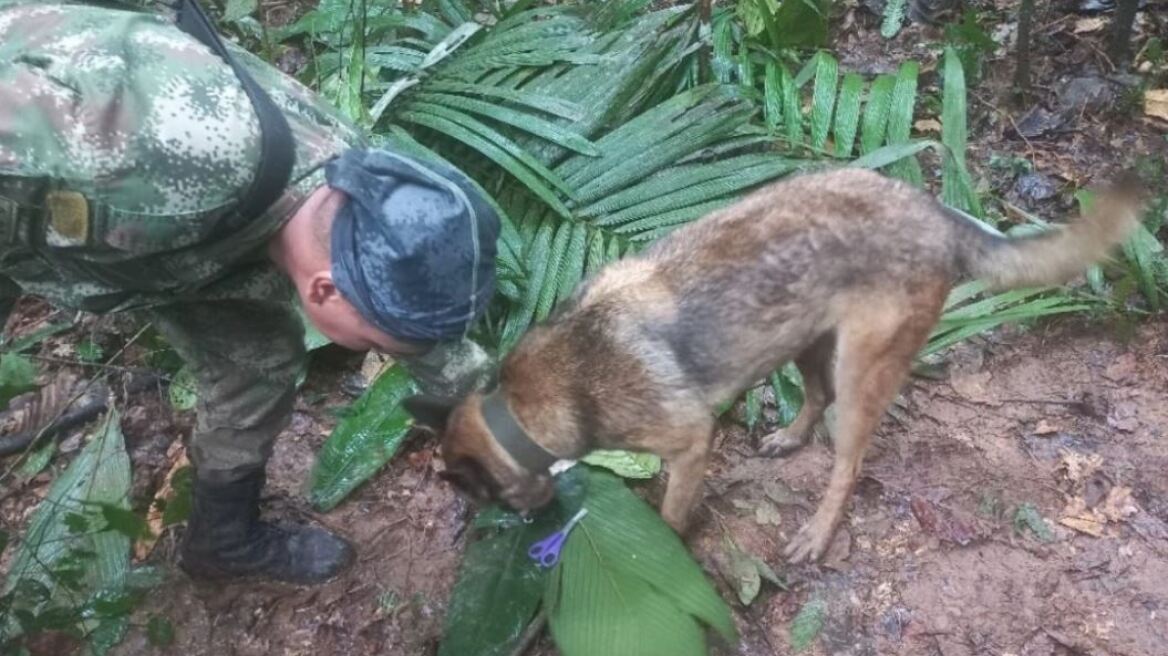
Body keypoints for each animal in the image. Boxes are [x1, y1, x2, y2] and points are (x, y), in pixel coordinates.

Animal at [408, 168, 1139, 562]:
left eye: (481, 497)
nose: (524, 528)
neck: (525, 406)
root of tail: (936, 213)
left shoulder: (689, 441)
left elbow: (671, 514)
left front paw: (664, 547)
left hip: (860, 369)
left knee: (847, 461)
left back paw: (817, 531)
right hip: (805, 339)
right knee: (813, 399)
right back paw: (789, 437)